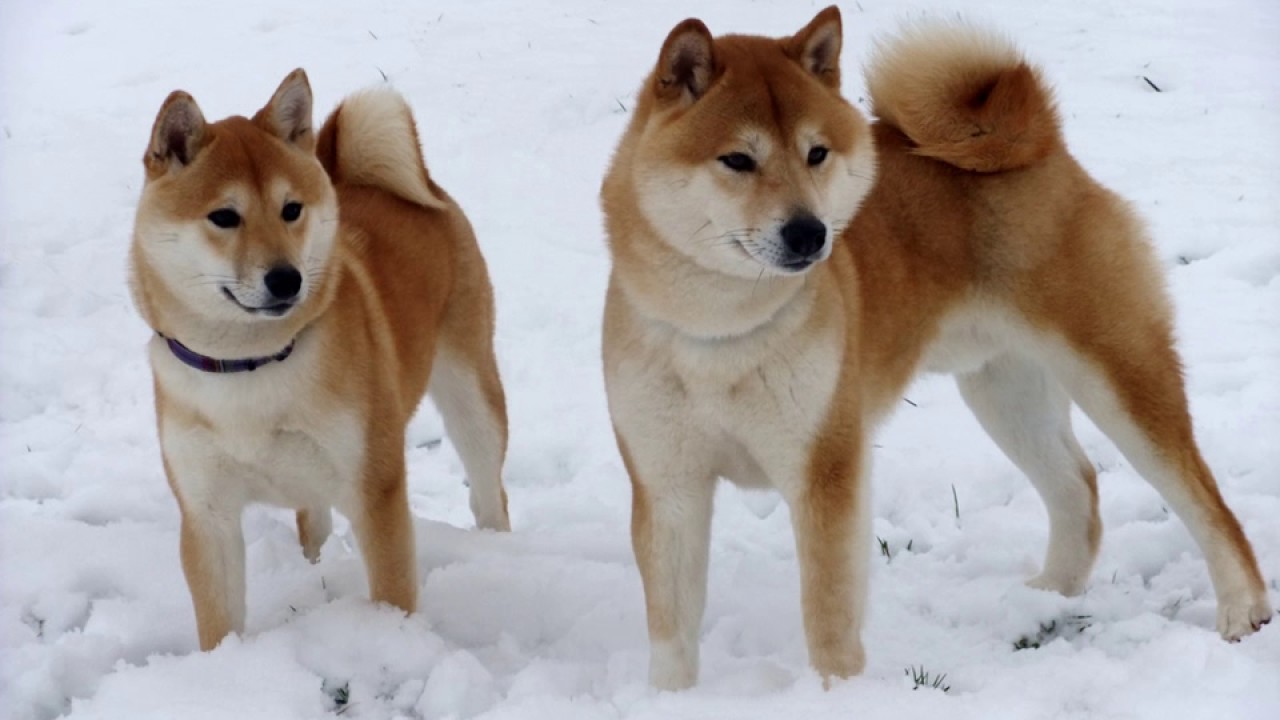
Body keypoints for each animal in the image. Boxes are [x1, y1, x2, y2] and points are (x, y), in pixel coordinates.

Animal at [131, 70, 509, 648]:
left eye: (291, 210)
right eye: (224, 216)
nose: (286, 278)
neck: (252, 364)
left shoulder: (375, 490)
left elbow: (392, 593)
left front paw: (393, 643)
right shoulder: (206, 512)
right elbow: (219, 621)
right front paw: (222, 666)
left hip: (472, 395)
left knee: (489, 490)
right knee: (314, 523)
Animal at [599, 7, 1269, 691]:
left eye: (817, 154)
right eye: (737, 159)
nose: (810, 232)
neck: (721, 332)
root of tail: (1042, 144)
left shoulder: (826, 471)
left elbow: (828, 613)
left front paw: (837, 693)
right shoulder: (668, 485)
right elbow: (673, 631)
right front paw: (671, 698)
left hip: (1116, 372)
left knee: (1201, 496)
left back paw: (1242, 608)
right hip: (1005, 392)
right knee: (1077, 485)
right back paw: (1049, 594)